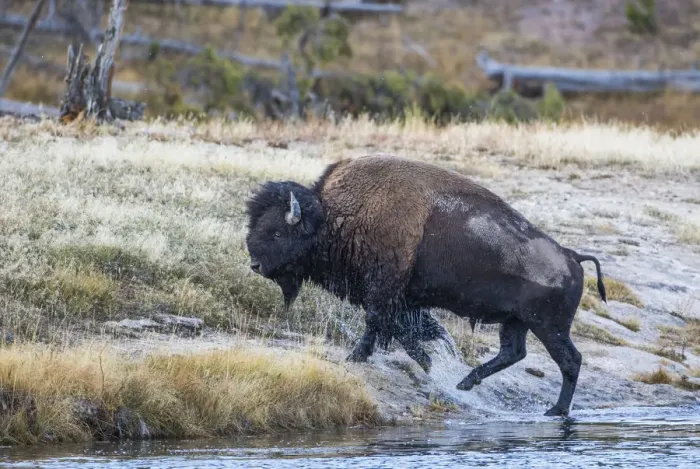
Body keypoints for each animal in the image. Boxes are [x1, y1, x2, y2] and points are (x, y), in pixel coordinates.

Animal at [244, 155, 606, 417]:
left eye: (277, 231)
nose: (255, 265)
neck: (334, 216)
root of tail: (572, 256)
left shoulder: (384, 291)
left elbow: (379, 324)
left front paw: (356, 357)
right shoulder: (401, 300)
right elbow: (406, 333)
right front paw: (429, 362)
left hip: (548, 326)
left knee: (570, 361)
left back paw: (555, 411)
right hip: (516, 322)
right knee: (514, 352)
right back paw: (464, 384)